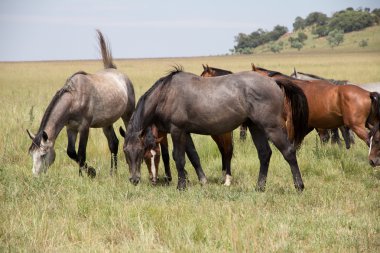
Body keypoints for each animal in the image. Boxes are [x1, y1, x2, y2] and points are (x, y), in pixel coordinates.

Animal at [121, 68, 308, 191]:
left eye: (141, 151)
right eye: (125, 152)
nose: (134, 179)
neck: (165, 94)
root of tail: (273, 81)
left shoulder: (177, 131)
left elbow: (178, 158)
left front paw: (181, 186)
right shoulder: (185, 132)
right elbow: (193, 156)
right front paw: (201, 181)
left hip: (272, 127)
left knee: (288, 152)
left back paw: (299, 186)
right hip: (256, 128)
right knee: (264, 154)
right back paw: (259, 187)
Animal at [252, 63, 380, 166]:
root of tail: (368, 93)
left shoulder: (292, 123)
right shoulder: (308, 125)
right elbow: (299, 142)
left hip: (357, 126)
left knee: (369, 141)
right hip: (371, 124)